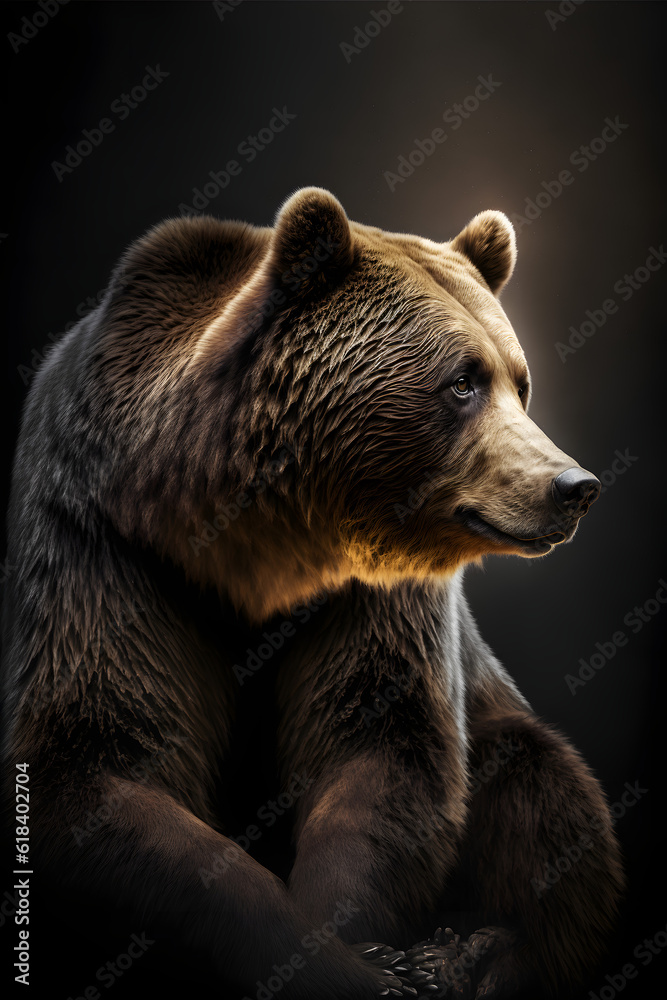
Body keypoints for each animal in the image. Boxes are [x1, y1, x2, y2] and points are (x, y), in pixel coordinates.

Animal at [1, 186, 623, 999]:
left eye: (520, 382)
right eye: (462, 381)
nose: (572, 486)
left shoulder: (371, 589)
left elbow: (377, 743)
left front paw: (385, 951)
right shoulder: (103, 540)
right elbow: (103, 765)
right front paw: (350, 967)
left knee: (540, 785)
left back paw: (476, 954)